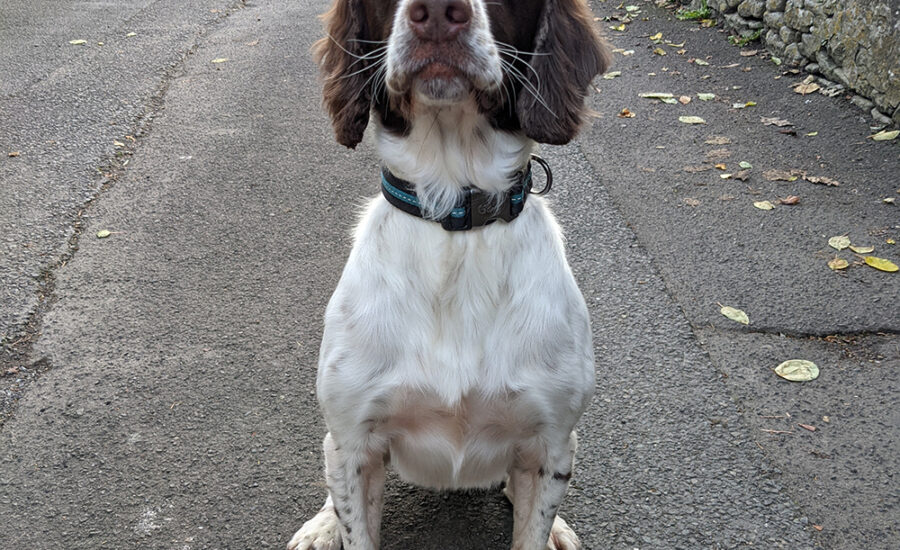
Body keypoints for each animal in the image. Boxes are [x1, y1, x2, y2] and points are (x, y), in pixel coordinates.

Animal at [290, 1, 612, 550]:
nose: (439, 13)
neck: (454, 217)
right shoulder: (355, 442)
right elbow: (355, 519)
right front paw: (332, 523)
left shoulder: (550, 443)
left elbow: (531, 526)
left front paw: (547, 528)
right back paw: (322, 524)